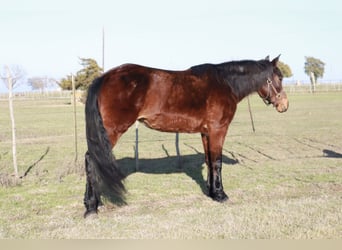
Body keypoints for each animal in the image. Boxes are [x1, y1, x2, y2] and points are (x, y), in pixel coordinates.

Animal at [83, 55, 288, 217]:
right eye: (279, 77)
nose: (284, 105)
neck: (225, 83)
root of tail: (104, 78)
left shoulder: (206, 132)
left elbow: (209, 160)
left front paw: (211, 192)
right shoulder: (218, 130)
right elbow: (217, 162)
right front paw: (221, 195)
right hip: (111, 131)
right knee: (92, 160)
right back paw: (91, 208)